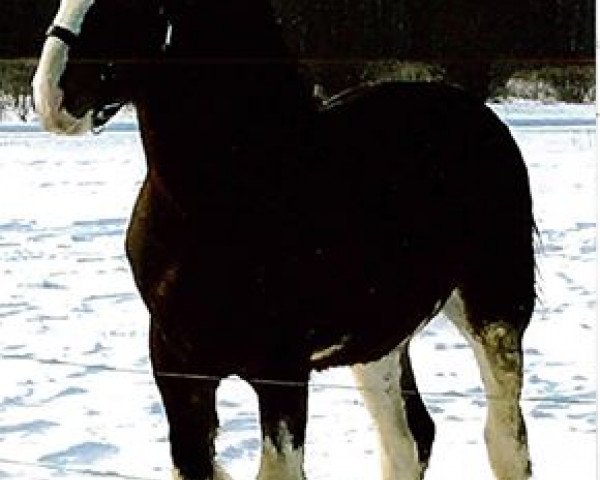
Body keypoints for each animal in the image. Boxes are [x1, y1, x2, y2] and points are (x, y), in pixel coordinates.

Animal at [31, 1, 536, 478]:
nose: (52, 95)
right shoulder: (177, 368)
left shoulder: (282, 372)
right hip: (378, 343)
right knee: (408, 441)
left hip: (494, 318)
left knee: (504, 441)